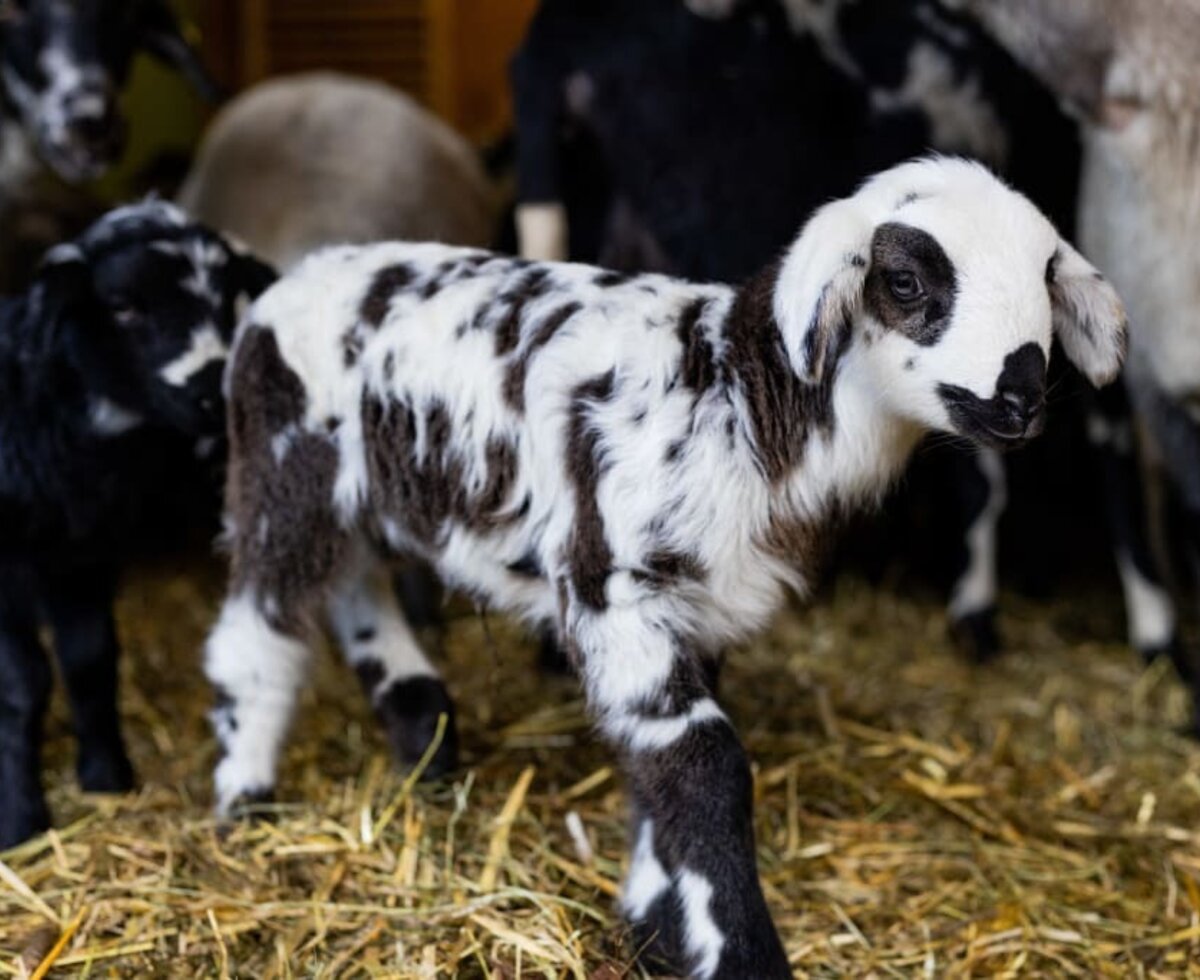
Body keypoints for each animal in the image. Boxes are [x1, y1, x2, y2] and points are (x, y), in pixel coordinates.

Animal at [0, 200, 273, 849]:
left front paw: (107, 777)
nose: (210, 391)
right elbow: (22, 683)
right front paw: (21, 818)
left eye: (226, 298)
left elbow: (91, 660)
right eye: (122, 307)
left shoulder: (82, 555)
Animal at [204, 160, 1123, 978]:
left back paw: (419, 734)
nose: (1022, 397)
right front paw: (736, 955)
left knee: (349, 587)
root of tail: (284, 285)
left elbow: (657, 777)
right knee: (260, 627)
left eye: (1046, 276)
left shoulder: (698, 607)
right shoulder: (617, 587)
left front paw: (653, 928)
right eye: (903, 281)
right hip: (286, 468)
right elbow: (704, 765)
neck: (733, 398)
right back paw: (244, 795)